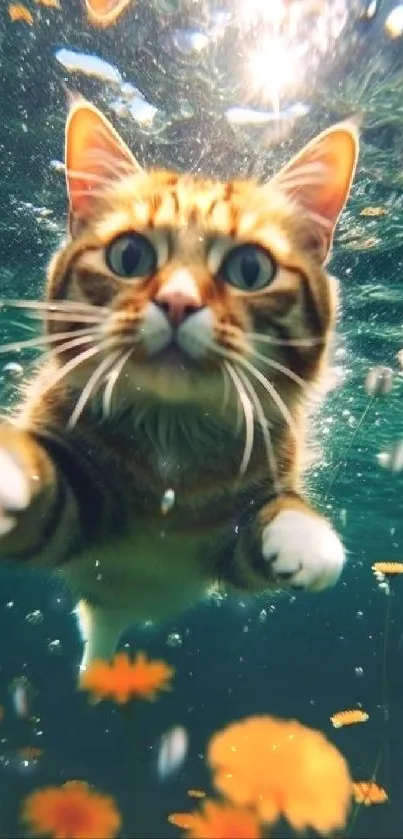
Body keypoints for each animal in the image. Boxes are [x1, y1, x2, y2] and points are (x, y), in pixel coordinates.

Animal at [0, 98, 360, 672]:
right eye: (130, 256)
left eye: (250, 268)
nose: (177, 301)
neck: (172, 438)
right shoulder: (77, 506)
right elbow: (44, 479)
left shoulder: (231, 543)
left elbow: (275, 509)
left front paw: (307, 535)